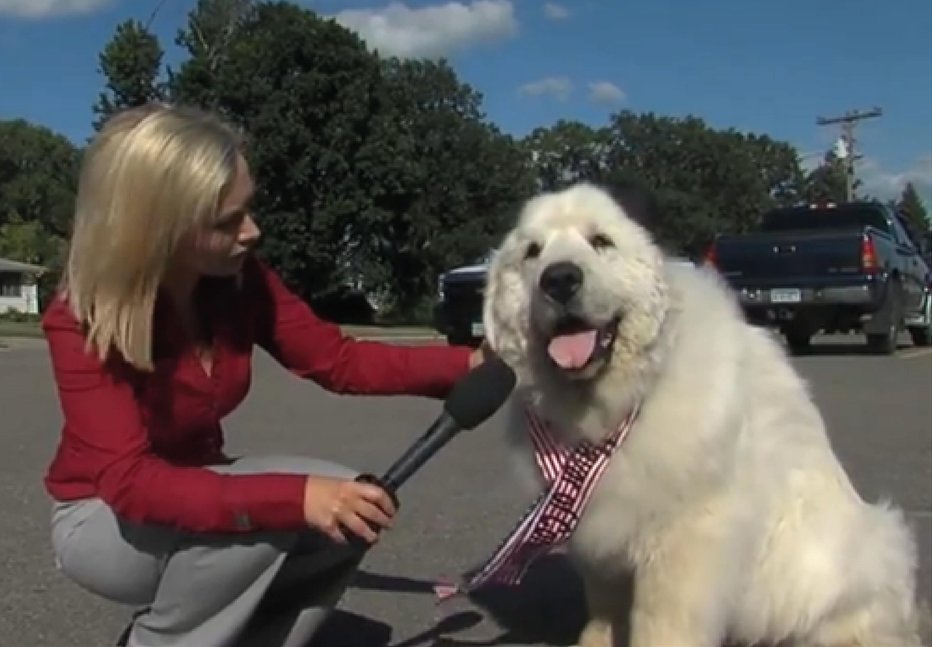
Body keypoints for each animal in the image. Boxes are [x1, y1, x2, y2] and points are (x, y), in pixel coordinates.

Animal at [480, 182, 924, 647]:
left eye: (601, 241)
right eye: (532, 252)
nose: (560, 278)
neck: (626, 398)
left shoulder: (685, 542)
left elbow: (661, 624)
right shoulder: (602, 531)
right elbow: (603, 608)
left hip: (859, 558)